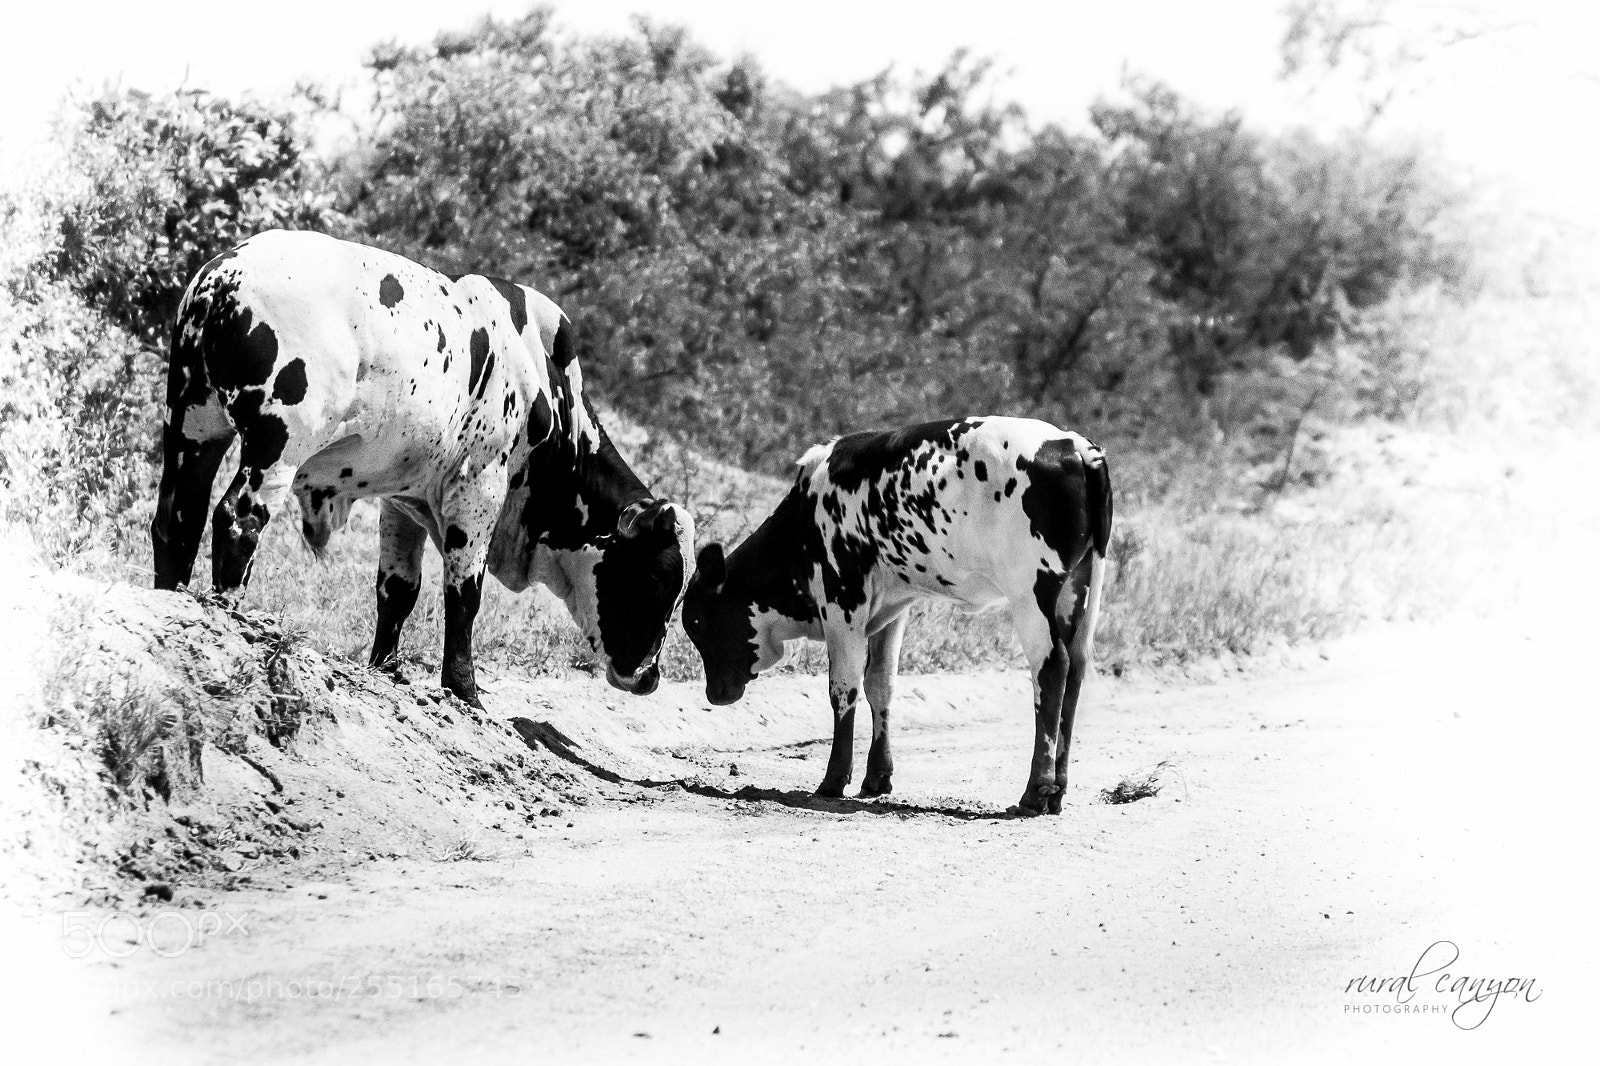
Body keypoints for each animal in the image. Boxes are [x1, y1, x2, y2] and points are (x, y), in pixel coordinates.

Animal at [150, 230, 695, 707]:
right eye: (657, 578)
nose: (649, 677)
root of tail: (224, 274)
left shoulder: (402, 499)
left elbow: (398, 589)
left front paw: (386, 667)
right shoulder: (480, 489)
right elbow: (464, 595)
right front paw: (464, 689)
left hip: (193, 427)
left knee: (177, 521)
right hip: (277, 444)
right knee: (237, 520)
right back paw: (227, 620)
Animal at [681, 417, 1110, 815]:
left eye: (698, 623)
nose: (714, 694)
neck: (806, 515)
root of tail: (1073, 445)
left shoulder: (842, 601)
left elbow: (844, 687)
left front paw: (834, 779)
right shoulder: (890, 609)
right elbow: (880, 684)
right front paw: (877, 776)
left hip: (1030, 595)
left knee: (1051, 669)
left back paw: (1036, 791)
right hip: (1077, 589)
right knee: (1075, 672)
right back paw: (1057, 790)